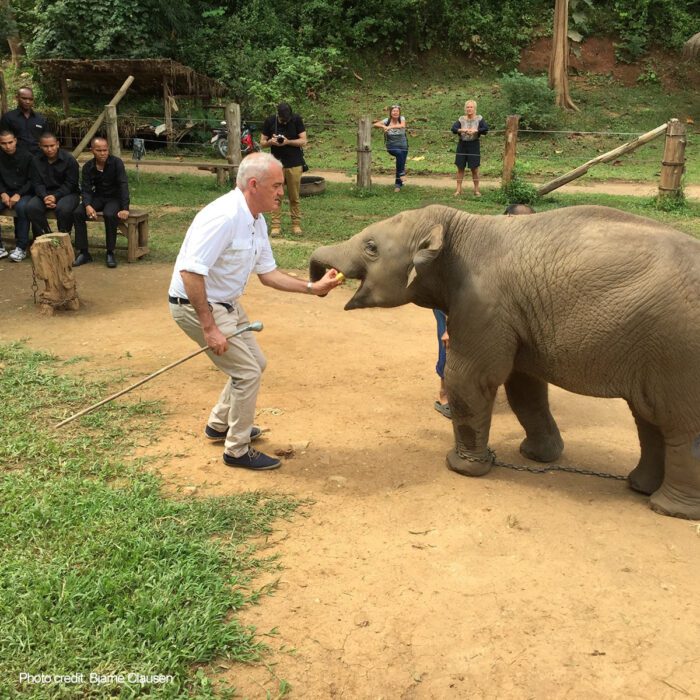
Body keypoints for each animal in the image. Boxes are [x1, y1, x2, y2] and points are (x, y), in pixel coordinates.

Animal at [309, 204, 700, 520]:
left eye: (371, 247)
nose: (320, 277)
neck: (461, 224)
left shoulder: (483, 302)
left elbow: (469, 378)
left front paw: (461, 468)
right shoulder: (515, 316)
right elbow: (524, 386)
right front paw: (537, 458)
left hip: (680, 349)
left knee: (679, 423)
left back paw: (669, 509)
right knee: (649, 417)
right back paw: (640, 487)